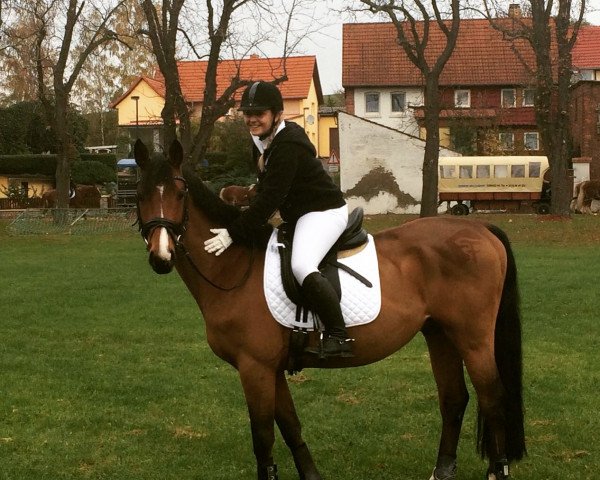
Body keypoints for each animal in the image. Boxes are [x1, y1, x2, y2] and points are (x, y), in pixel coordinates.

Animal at [132, 139, 524, 480]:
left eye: (180, 194)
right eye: (140, 195)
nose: (161, 256)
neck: (235, 266)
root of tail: (480, 229)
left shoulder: (254, 368)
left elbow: (263, 437)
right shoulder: (271, 369)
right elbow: (290, 426)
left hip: (473, 339)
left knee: (493, 397)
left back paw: (497, 471)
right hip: (440, 334)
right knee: (454, 399)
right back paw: (441, 472)